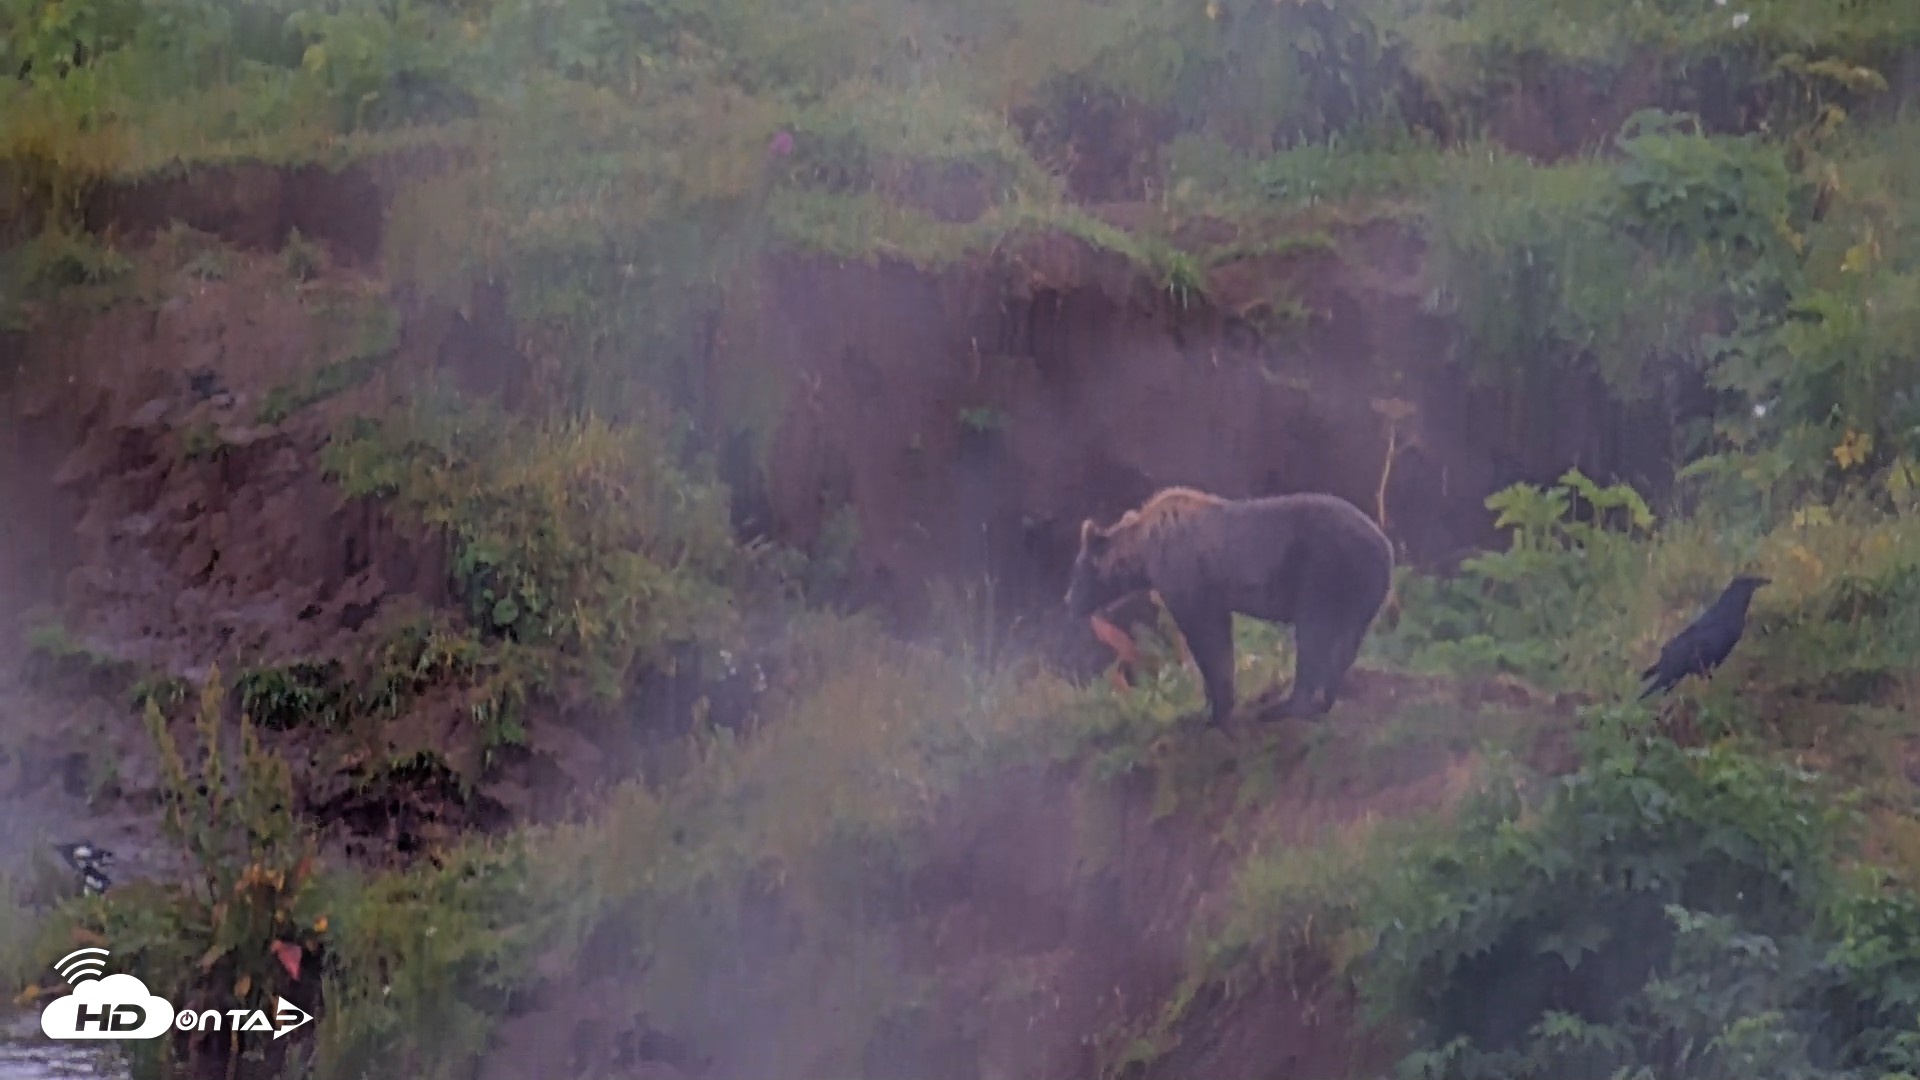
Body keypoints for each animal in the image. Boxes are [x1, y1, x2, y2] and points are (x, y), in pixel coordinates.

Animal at [1064, 486, 1395, 727]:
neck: (1145, 554)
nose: (1069, 600)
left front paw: (1215, 710)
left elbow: (1210, 640)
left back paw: (1285, 706)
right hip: (1359, 592)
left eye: (1079, 571)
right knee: (1345, 642)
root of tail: (1385, 546)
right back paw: (1322, 701)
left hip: (1324, 571)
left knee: (1313, 634)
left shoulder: (1191, 581)